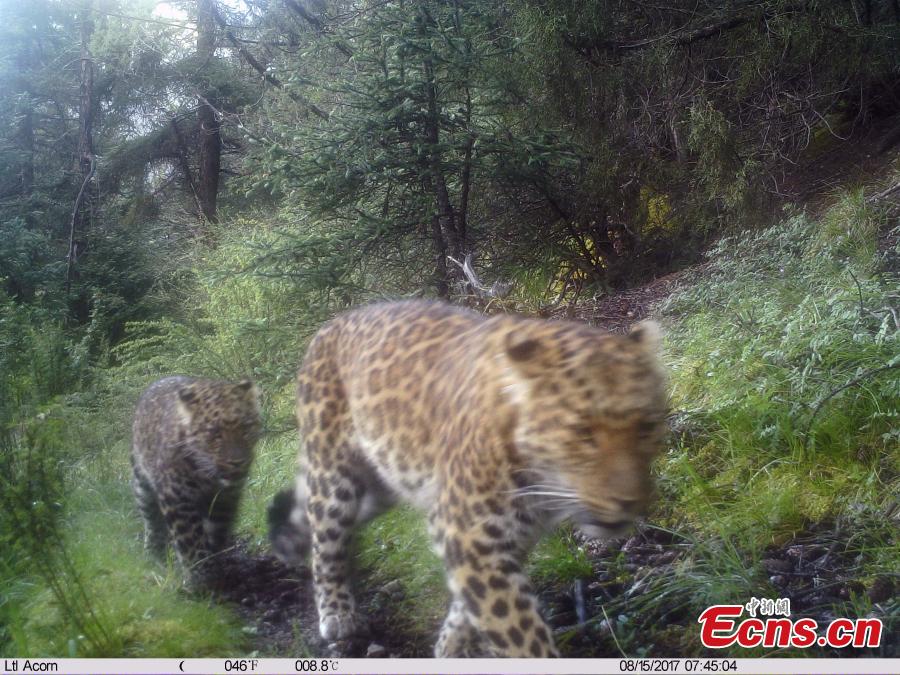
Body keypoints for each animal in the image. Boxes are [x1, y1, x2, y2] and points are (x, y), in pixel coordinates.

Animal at [132, 376, 261, 584]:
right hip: (141, 483)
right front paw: (200, 576)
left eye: (246, 428)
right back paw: (153, 555)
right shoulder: (177, 497)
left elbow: (216, 531)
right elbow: (189, 538)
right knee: (151, 521)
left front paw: (214, 561)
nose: (237, 462)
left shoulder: (225, 500)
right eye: (214, 434)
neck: (207, 476)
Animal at [270, 300, 667, 657]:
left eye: (647, 426)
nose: (629, 502)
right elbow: (517, 630)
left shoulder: (494, 537)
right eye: (582, 433)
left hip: (379, 486)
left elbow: (471, 605)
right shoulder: (467, 530)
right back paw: (338, 614)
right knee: (326, 543)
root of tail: (328, 326)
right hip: (333, 476)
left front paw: (450, 647)